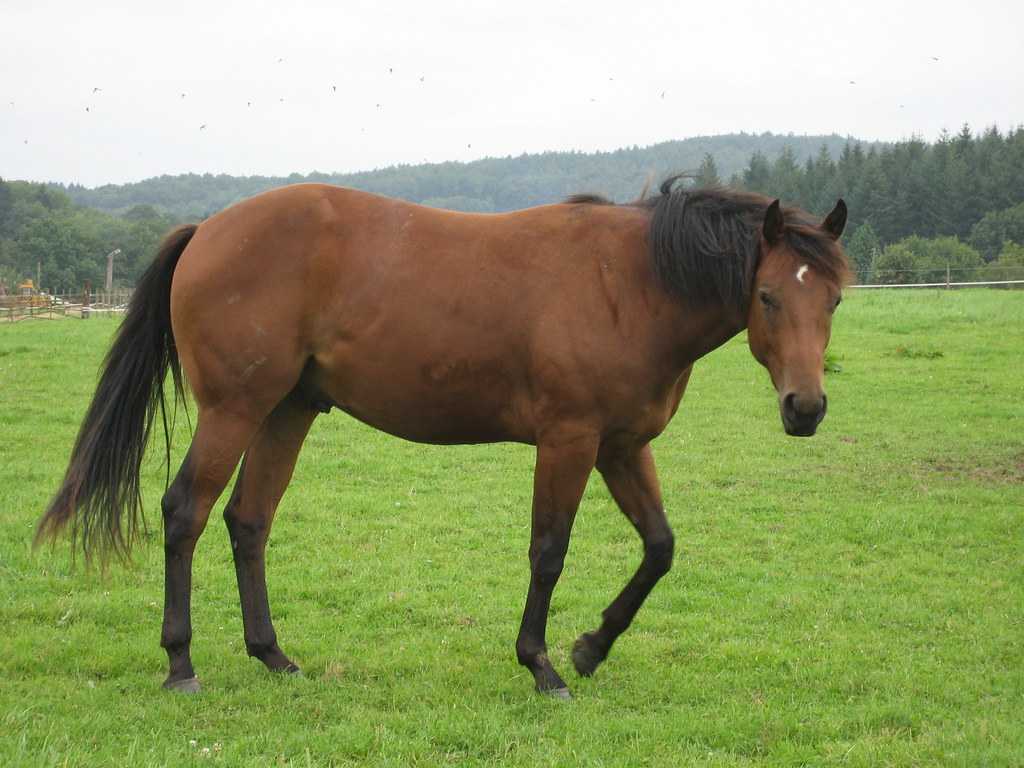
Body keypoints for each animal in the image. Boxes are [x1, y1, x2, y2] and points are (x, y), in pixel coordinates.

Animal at [36, 179, 847, 696]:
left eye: (834, 298)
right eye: (768, 296)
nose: (805, 407)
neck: (629, 282)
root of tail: (207, 229)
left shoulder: (621, 446)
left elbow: (660, 548)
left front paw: (590, 648)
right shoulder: (570, 440)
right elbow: (548, 551)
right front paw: (542, 665)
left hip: (285, 412)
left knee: (248, 521)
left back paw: (273, 657)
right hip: (235, 410)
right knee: (186, 514)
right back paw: (181, 665)